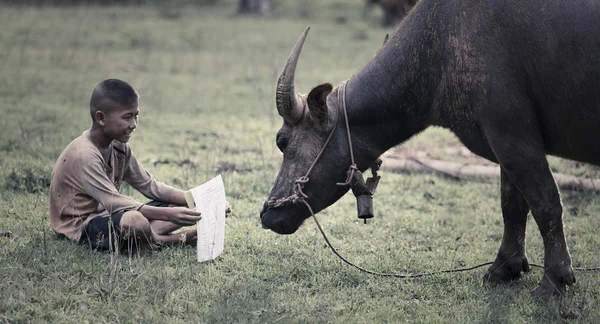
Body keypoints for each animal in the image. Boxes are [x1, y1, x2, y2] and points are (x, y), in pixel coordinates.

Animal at [262, 0, 600, 298]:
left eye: (282, 141)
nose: (267, 214)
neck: (439, 50)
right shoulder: (506, 142)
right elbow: (512, 205)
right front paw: (505, 266)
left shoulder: (513, 136)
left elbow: (546, 204)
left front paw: (554, 279)